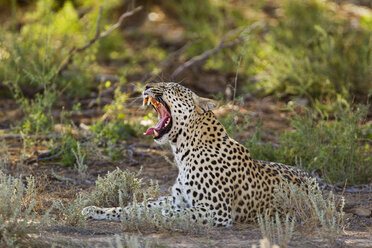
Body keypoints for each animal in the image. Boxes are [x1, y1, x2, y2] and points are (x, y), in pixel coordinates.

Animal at [83, 83, 312, 227]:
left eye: (171, 87)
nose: (146, 86)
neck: (182, 150)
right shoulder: (177, 199)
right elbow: (135, 206)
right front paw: (96, 210)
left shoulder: (216, 210)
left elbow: (166, 213)